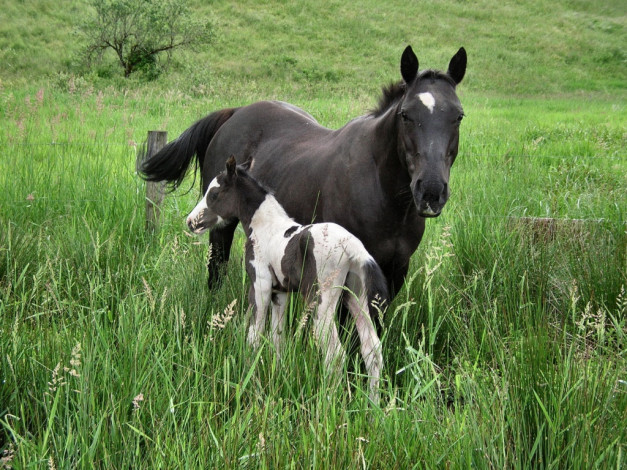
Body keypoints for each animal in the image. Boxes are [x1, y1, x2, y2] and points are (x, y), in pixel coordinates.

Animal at [144, 46, 466, 298]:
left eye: (458, 116)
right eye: (406, 115)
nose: (431, 191)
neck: (382, 192)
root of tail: (235, 113)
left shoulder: (396, 268)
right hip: (221, 226)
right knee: (216, 271)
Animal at [185, 156, 388, 402]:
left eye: (214, 194)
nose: (190, 222)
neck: (264, 227)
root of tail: (353, 247)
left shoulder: (260, 286)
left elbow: (254, 335)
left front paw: (249, 378)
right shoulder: (280, 293)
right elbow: (277, 338)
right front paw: (277, 373)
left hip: (321, 301)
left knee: (335, 354)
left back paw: (329, 401)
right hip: (356, 295)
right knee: (372, 348)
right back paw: (372, 404)